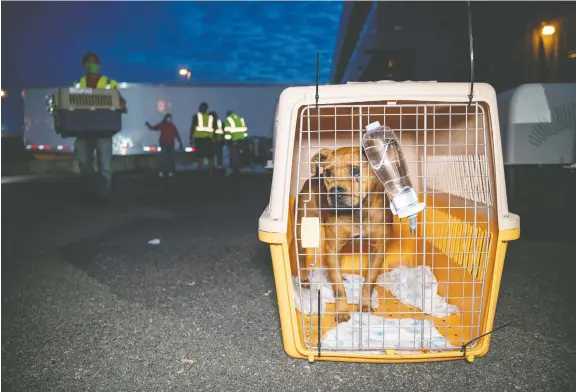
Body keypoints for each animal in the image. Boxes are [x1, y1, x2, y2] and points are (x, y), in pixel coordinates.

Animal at [296, 145, 392, 324]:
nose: (335, 192)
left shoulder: (378, 249)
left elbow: (369, 281)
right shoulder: (332, 248)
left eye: (355, 171)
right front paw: (341, 312)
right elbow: (339, 288)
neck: (358, 212)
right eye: (328, 173)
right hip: (302, 229)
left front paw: (365, 305)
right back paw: (304, 279)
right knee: (301, 256)